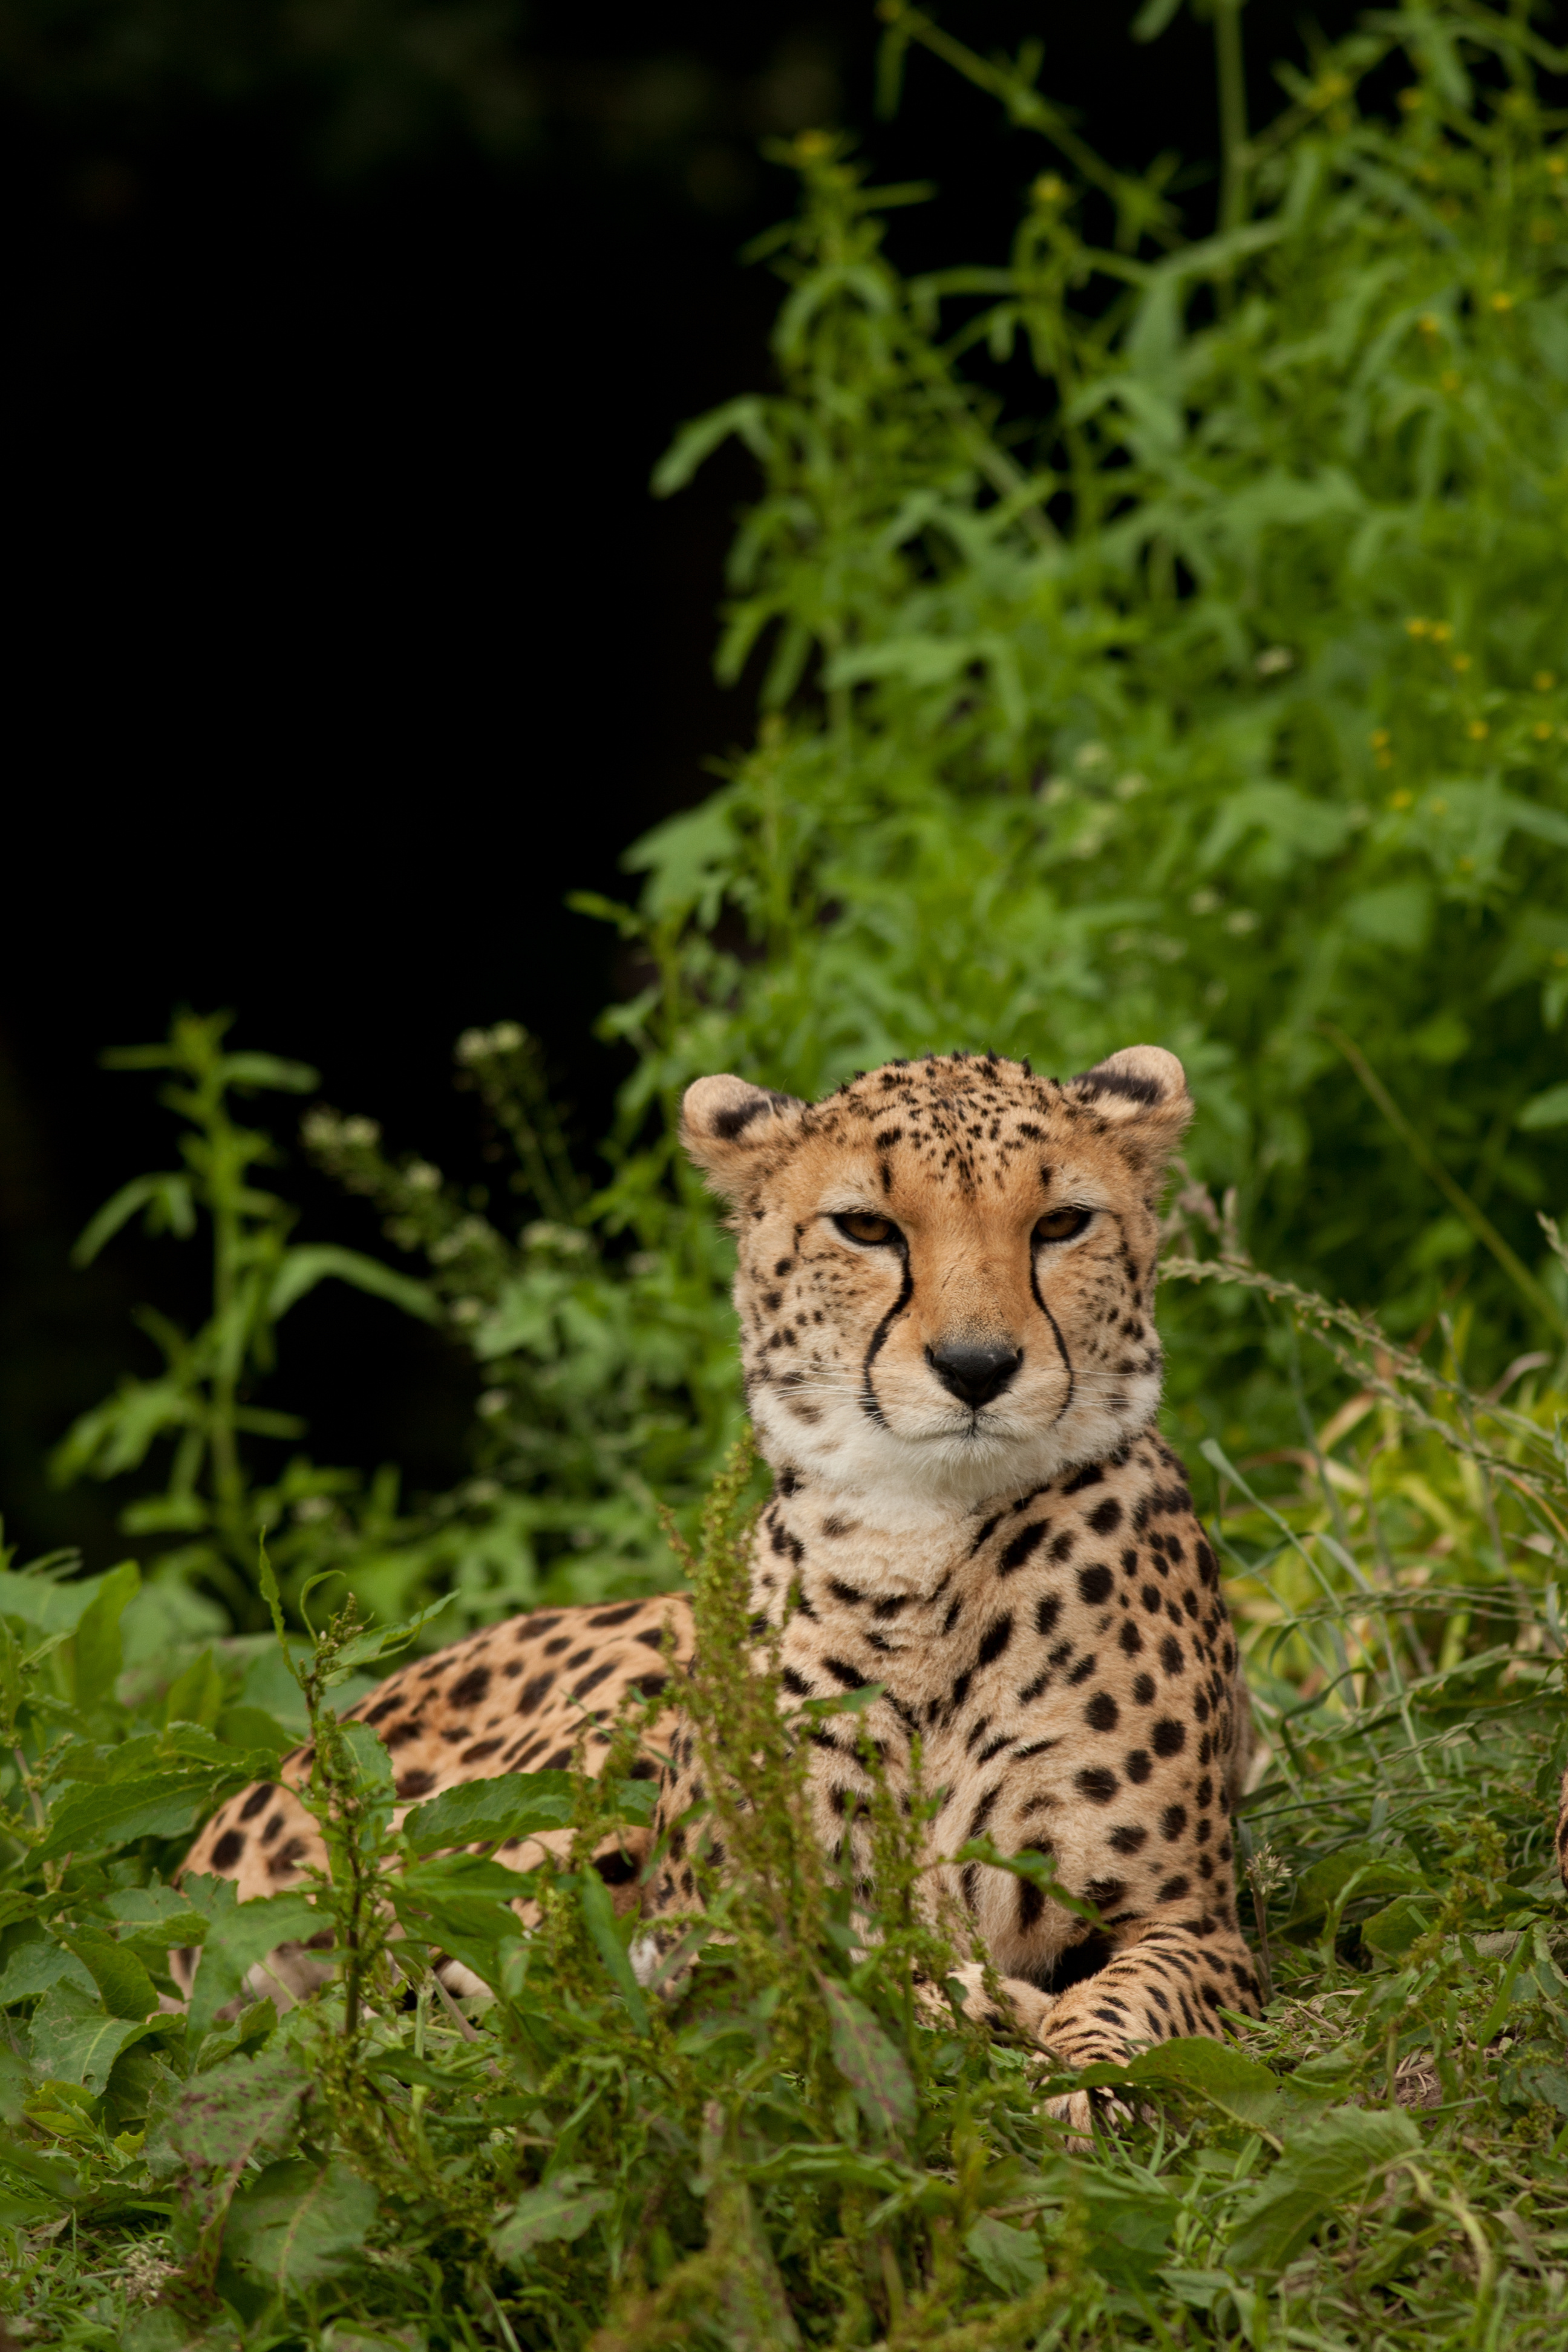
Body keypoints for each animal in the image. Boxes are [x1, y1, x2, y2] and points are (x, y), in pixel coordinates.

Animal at [177, 1044, 1262, 2101]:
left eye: (1061, 1223)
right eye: (867, 1227)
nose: (975, 1366)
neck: (918, 1535)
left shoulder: (1197, 1924)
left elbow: (1124, 2007)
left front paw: (1078, 2072)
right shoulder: (722, 1931)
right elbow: (859, 1980)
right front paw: (989, 2012)